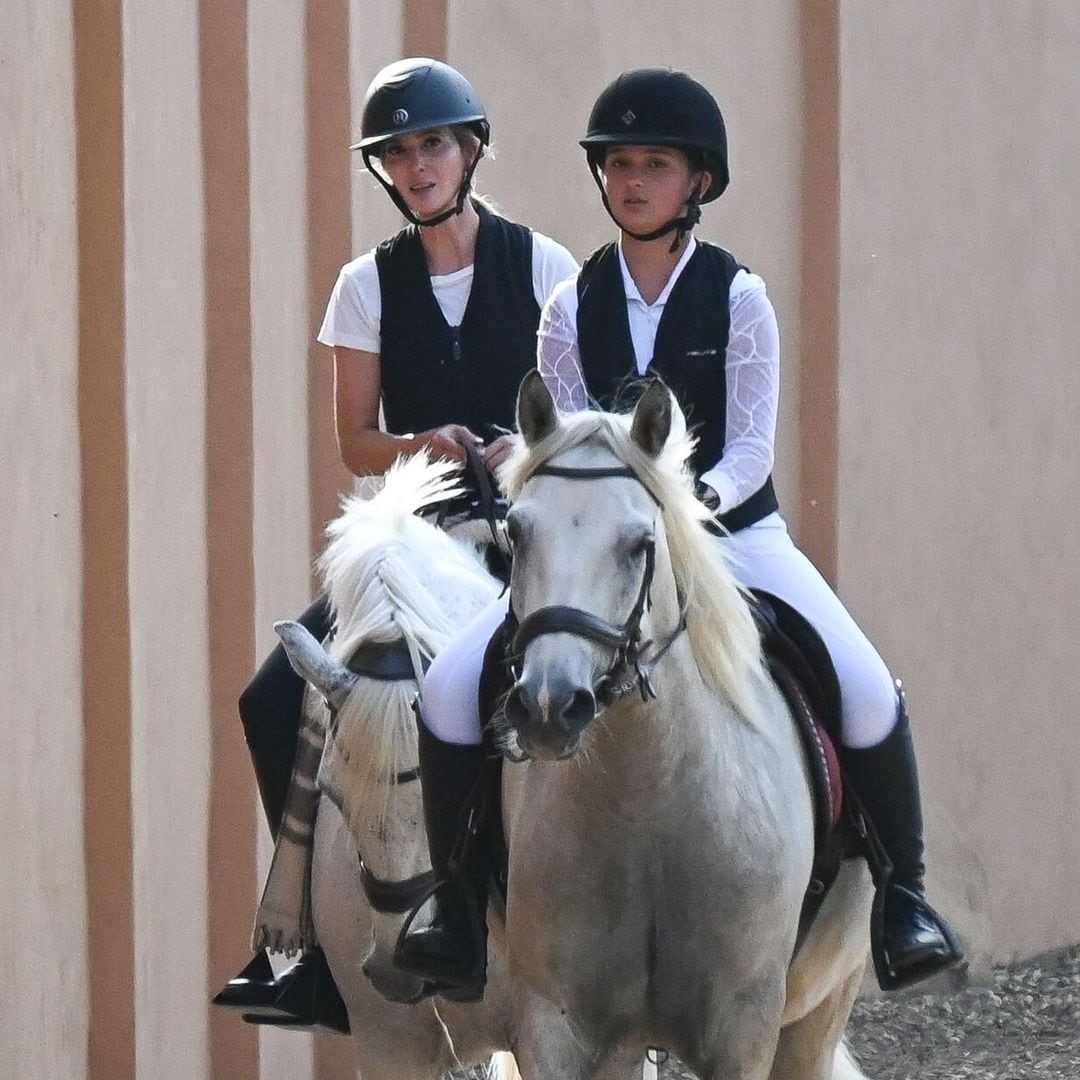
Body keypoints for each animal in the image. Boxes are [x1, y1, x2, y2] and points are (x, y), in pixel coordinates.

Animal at [494, 373, 872, 1080]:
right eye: (516, 532)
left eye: (641, 544)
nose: (550, 707)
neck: (647, 793)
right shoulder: (556, 1025)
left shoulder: (744, 1030)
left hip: (821, 1007)